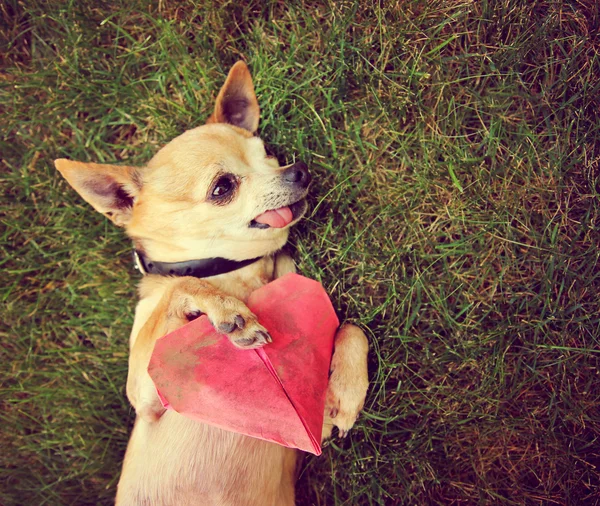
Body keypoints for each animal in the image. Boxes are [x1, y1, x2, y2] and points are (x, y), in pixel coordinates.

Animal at [56, 61, 372, 504]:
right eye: (223, 187)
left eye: (268, 156)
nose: (298, 169)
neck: (235, 274)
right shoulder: (145, 396)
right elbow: (182, 285)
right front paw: (227, 312)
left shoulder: (305, 425)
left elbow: (353, 328)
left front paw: (343, 394)